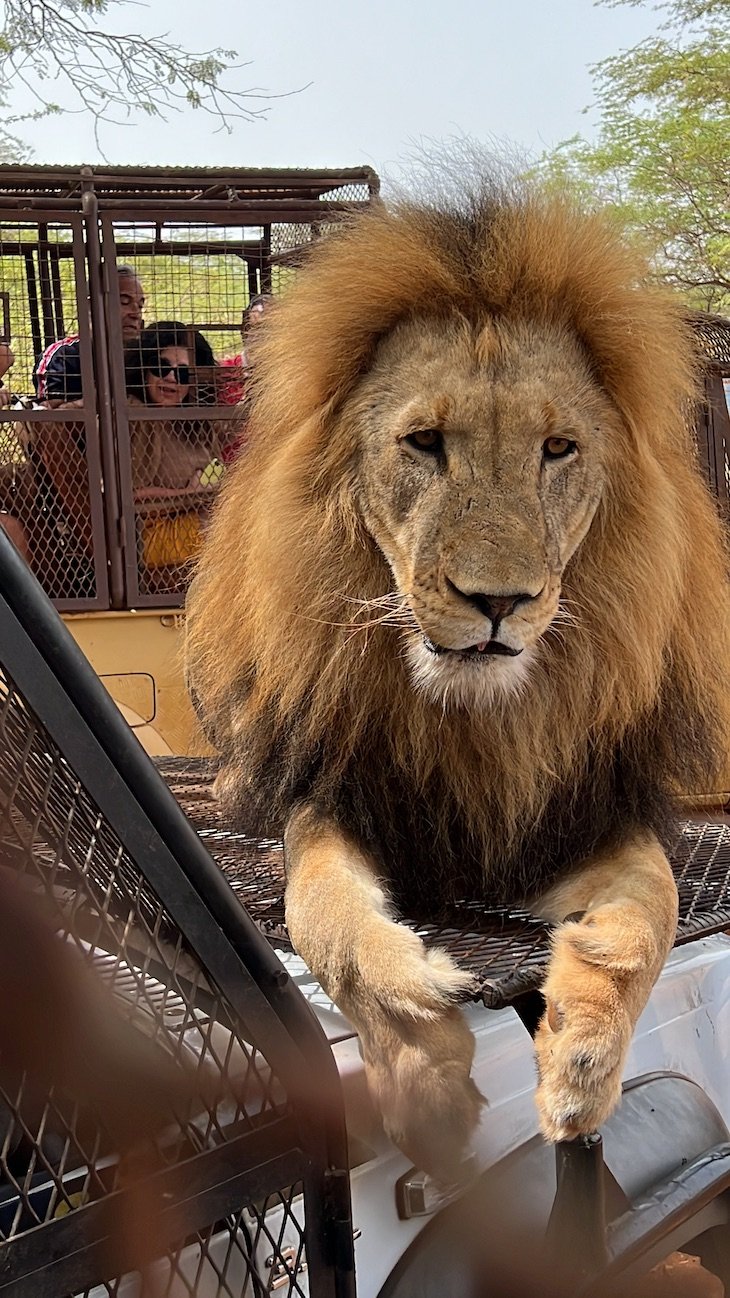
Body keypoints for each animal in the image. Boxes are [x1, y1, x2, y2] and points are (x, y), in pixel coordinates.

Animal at [184, 177, 727, 1183]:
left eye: (558, 449)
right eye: (426, 442)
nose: (499, 601)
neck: (478, 721)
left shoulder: (584, 812)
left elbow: (654, 914)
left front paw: (582, 1062)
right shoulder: (334, 798)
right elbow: (325, 913)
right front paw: (420, 1063)